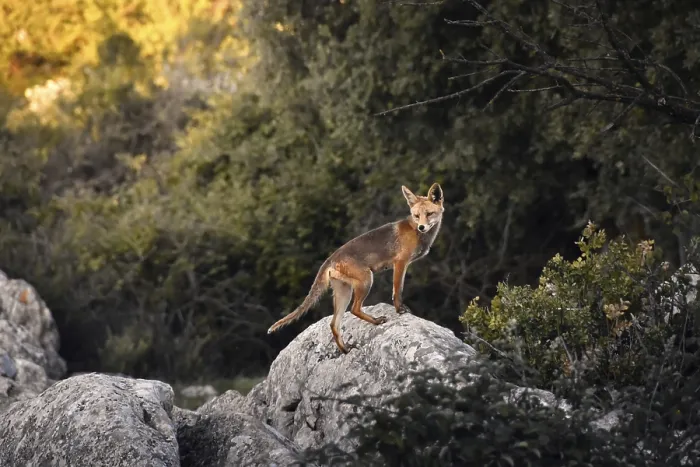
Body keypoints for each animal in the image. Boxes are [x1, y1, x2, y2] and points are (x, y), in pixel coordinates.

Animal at [267, 182, 445, 354]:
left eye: (429, 214)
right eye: (417, 216)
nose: (422, 227)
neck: (416, 233)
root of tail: (330, 258)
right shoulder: (400, 263)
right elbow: (397, 291)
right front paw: (400, 310)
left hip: (344, 292)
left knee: (334, 323)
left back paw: (345, 350)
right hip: (366, 280)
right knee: (354, 310)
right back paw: (376, 321)